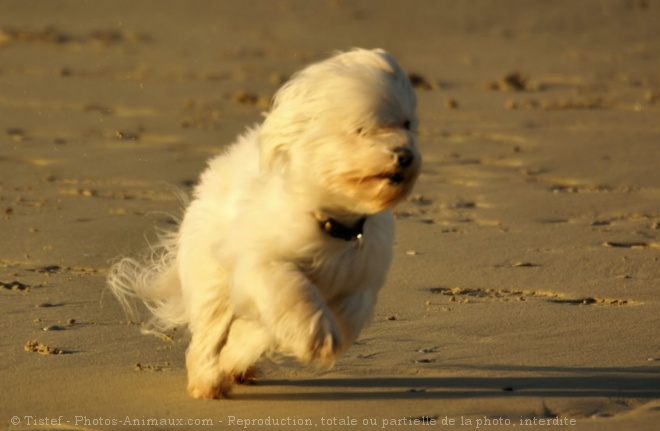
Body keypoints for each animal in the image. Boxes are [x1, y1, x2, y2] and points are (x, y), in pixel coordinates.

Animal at [107, 49, 418, 400]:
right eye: (362, 130)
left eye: (407, 123)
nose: (405, 155)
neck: (331, 218)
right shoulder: (264, 267)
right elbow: (293, 294)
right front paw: (319, 337)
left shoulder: (358, 277)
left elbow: (346, 310)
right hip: (215, 281)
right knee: (209, 335)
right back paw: (207, 382)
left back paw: (236, 367)